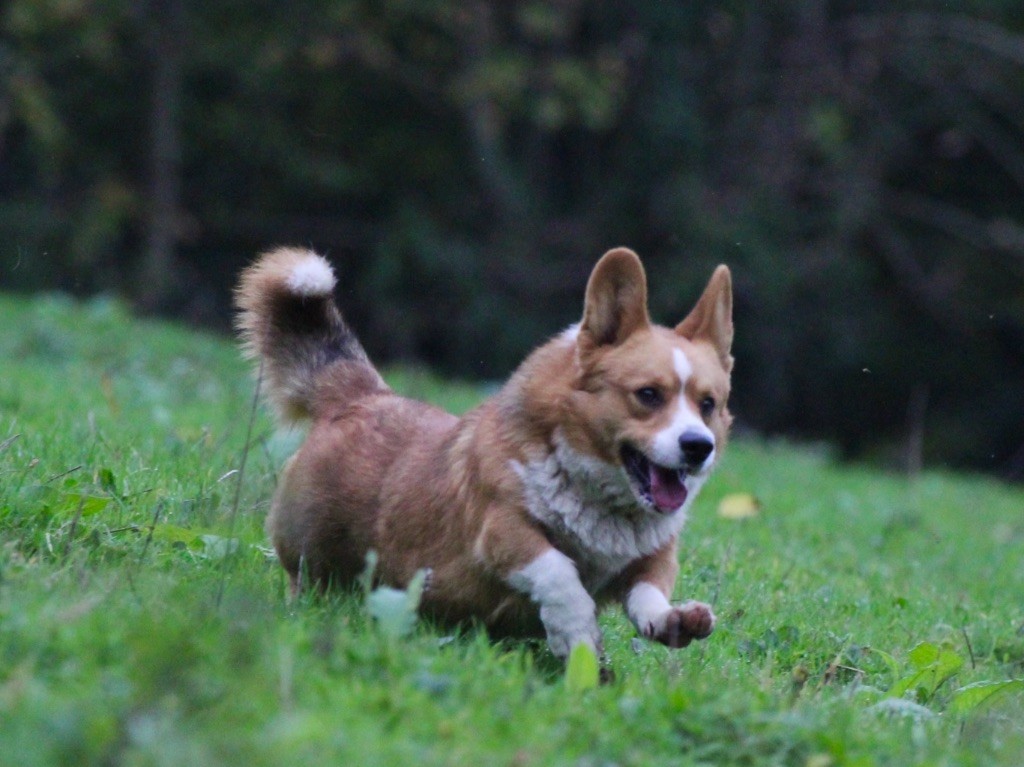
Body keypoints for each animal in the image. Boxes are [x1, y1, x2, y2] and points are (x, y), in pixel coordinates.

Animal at [235, 248, 733, 655]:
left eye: (708, 404)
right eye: (648, 395)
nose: (698, 447)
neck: (599, 499)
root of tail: (360, 395)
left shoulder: (652, 560)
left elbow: (649, 593)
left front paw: (673, 620)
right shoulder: (502, 532)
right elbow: (559, 574)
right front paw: (576, 635)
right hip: (310, 555)